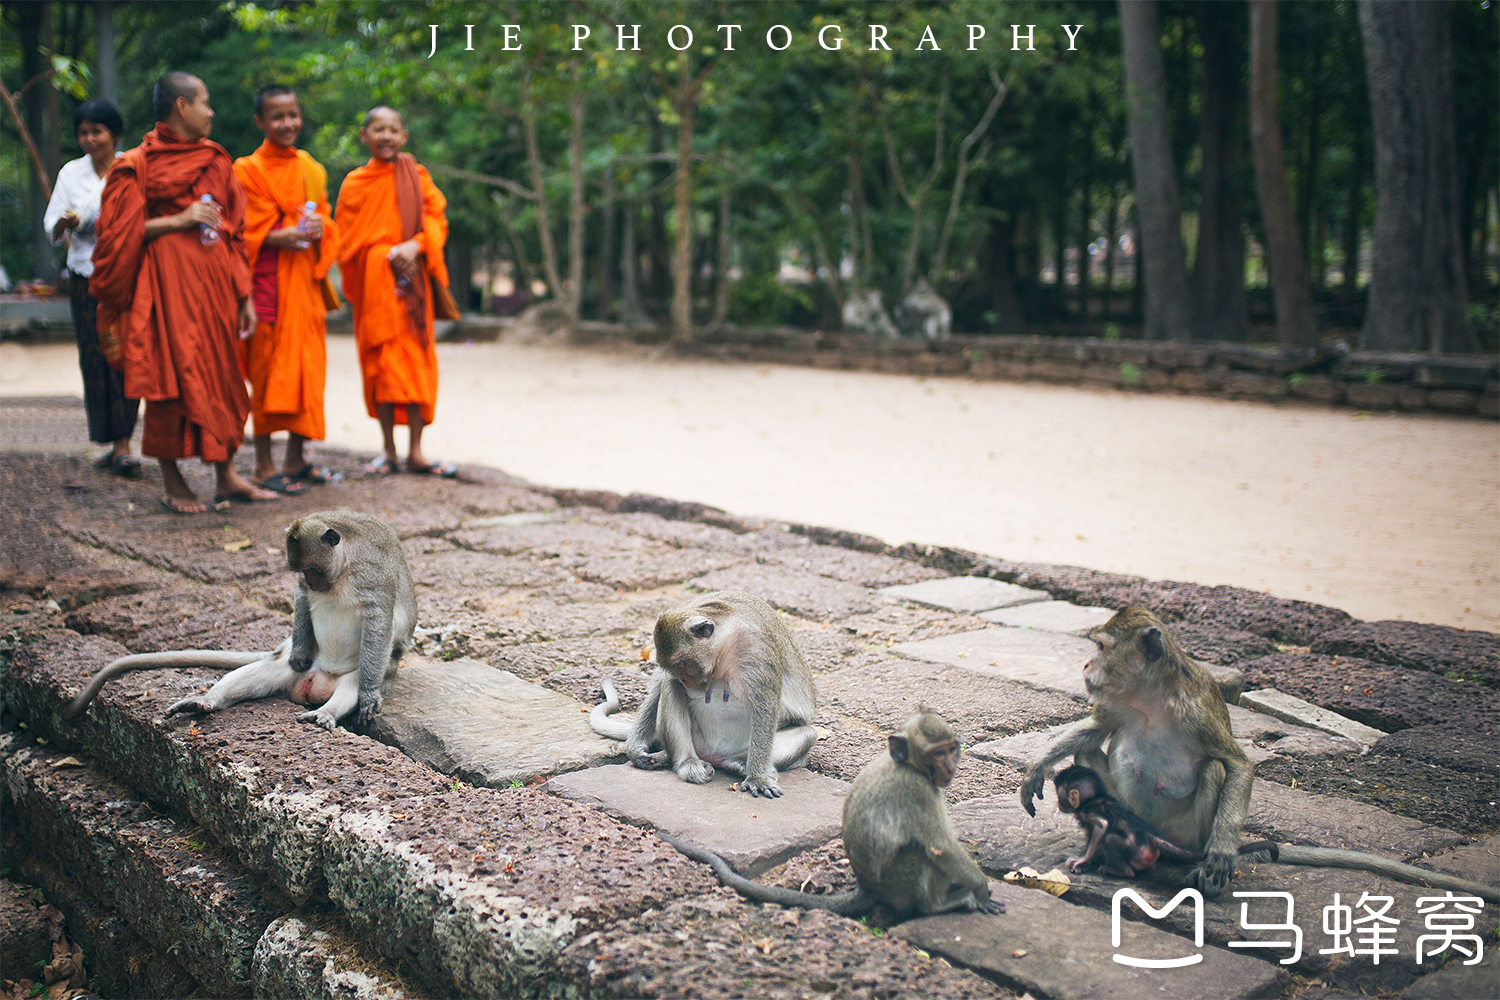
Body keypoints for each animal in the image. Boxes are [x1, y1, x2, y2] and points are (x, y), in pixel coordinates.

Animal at [65, 512, 417, 731]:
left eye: (314, 570)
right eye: (302, 572)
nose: (312, 582)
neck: (342, 569)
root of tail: (316, 684)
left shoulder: (371, 574)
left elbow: (378, 621)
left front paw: (368, 694)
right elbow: (301, 599)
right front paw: (300, 650)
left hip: (362, 671)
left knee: (349, 684)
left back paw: (326, 711)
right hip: (293, 670)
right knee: (263, 671)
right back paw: (206, 701)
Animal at [588, 593, 822, 797]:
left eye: (680, 662)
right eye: (671, 665)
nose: (685, 680)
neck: (727, 645)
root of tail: (715, 756)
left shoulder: (758, 650)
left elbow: (766, 706)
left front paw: (756, 778)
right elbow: (662, 680)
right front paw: (635, 747)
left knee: (807, 734)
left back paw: (739, 763)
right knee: (670, 687)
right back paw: (688, 763)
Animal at [663, 710, 1002, 923]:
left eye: (952, 749)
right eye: (936, 753)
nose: (950, 767)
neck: (907, 766)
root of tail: (869, 888)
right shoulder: (919, 791)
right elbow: (940, 847)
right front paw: (981, 890)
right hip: (901, 881)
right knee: (920, 854)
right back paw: (940, 904)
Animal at [1056, 773, 1278, 881]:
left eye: (1060, 796)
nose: (1059, 804)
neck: (1094, 798)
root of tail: (1149, 835)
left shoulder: (1088, 811)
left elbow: (1101, 827)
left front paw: (1083, 860)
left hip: (1140, 853)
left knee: (1111, 839)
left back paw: (1119, 871)